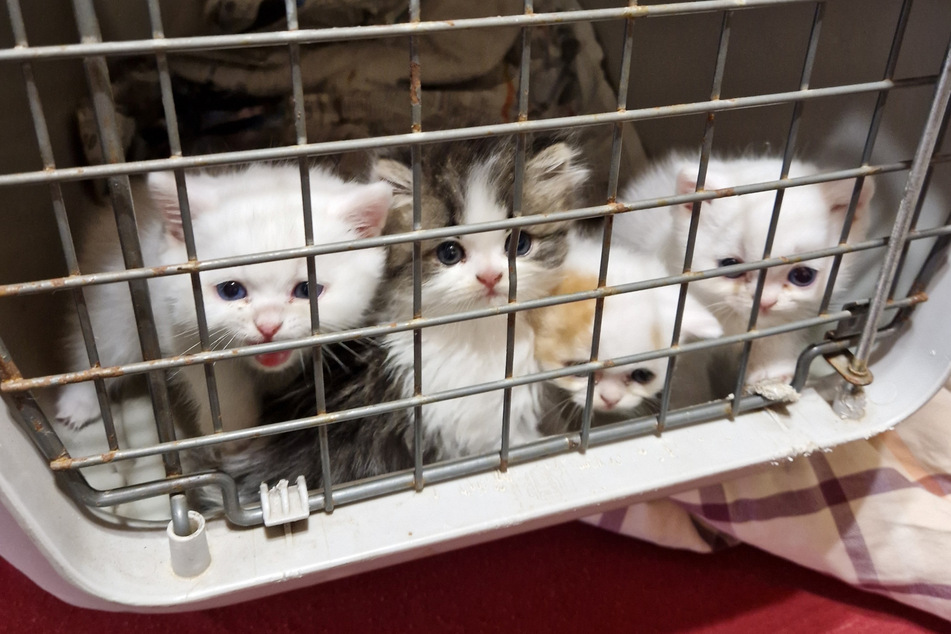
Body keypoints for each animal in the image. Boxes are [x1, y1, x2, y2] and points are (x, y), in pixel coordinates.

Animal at [54, 163, 390, 440]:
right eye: (231, 290)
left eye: (307, 289)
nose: (268, 326)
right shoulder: (179, 331)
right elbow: (222, 387)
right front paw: (234, 435)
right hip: (114, 303)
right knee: (102, 348)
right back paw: (79, 402)